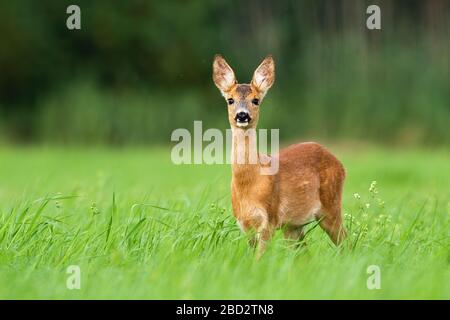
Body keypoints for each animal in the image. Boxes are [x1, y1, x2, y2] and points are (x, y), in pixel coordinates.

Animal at [213, 54, 346, 258]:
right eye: (230, 100)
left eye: (256, 100)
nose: (242, 115)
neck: (250, 183)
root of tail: (339, 163)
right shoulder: (244, 223)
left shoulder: (269, 218)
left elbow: (259, 258)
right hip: (294, 225)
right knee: (304, 253)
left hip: (331, 205)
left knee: (346, 241)